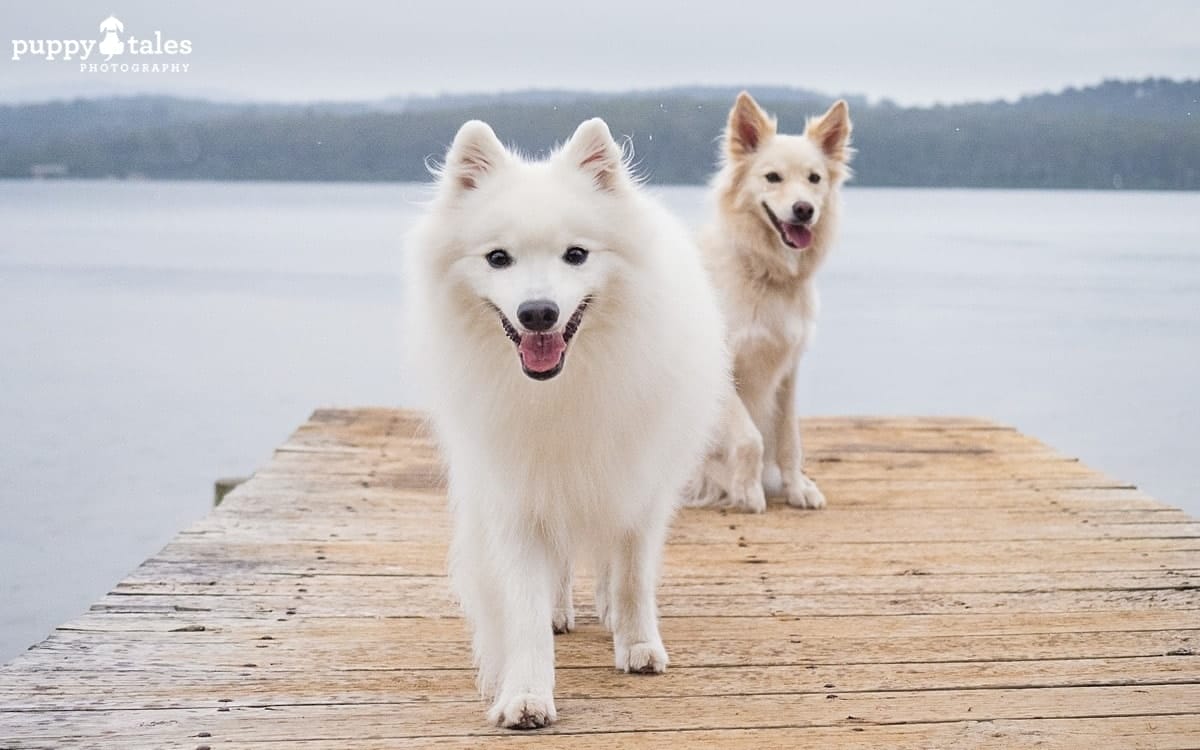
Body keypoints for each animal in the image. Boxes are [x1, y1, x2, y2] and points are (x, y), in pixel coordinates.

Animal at [403, 120, 724, 729]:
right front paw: (526, 696)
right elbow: (525, 605)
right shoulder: (517, 495)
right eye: (498, 258)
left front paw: (639, 645)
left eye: (576, 255)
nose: (538, 313)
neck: (561, 388)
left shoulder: (640, 487)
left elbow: (632, 575)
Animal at [686, 92, 854, 513]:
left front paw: (796, 488)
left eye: (814, 179)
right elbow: (750, 438)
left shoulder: (788, 369)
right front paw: (746, 491)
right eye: (772, 177)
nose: (804, 210)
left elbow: (789, 439)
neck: (765, 274)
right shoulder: (723, 367)